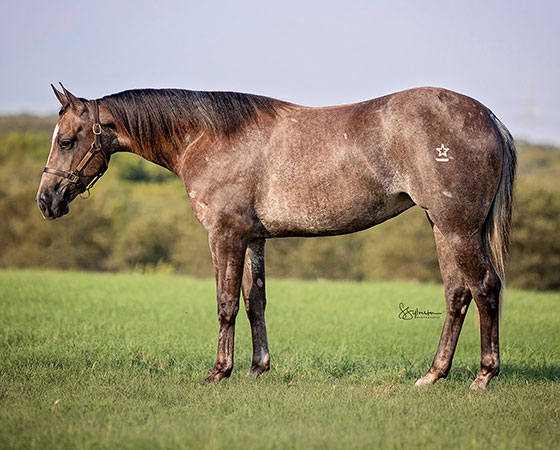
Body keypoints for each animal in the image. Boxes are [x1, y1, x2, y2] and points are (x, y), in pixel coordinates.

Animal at [36, 83, 516, 390]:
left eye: (67, 140)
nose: (46, 201)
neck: (208, 138)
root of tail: (490, 118)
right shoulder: (253, 239)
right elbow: (255, 302)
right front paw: (256, 369)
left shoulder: (225, 235)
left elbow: (226, 304)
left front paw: (218, 372)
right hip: (442, 228)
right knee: (457, 293)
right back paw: (433, 375)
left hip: (457, 228)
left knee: (485, 287)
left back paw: (483, 376)